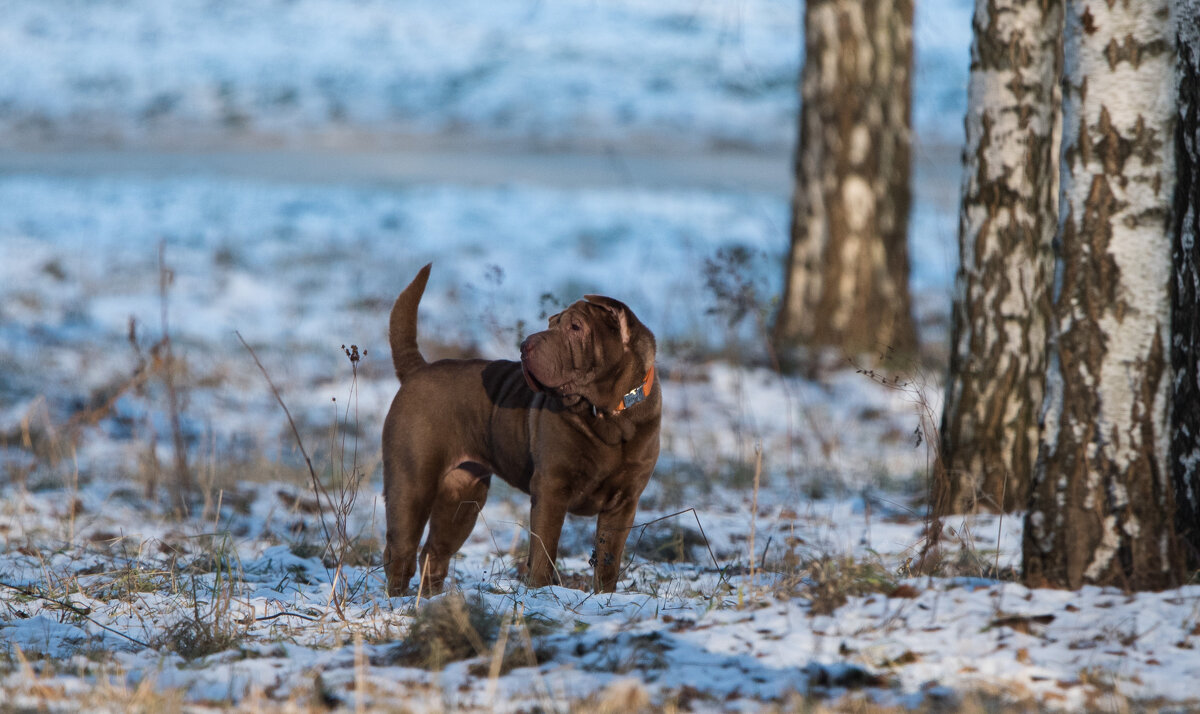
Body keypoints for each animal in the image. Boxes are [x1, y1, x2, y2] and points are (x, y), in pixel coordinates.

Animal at [384, 265, 662, 595]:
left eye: (576, 327)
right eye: (551, 323)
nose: (525, 344)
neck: (609, 416)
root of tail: (418, 369)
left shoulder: (624, 502)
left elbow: (608, 560)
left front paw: (604, 597)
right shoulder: (551, 488)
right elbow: (544, 551)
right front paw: (540, 591)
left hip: (463, 497)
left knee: (434, 552)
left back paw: (429, 600)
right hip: (412, 483)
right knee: (401, 549)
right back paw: (398, 599)